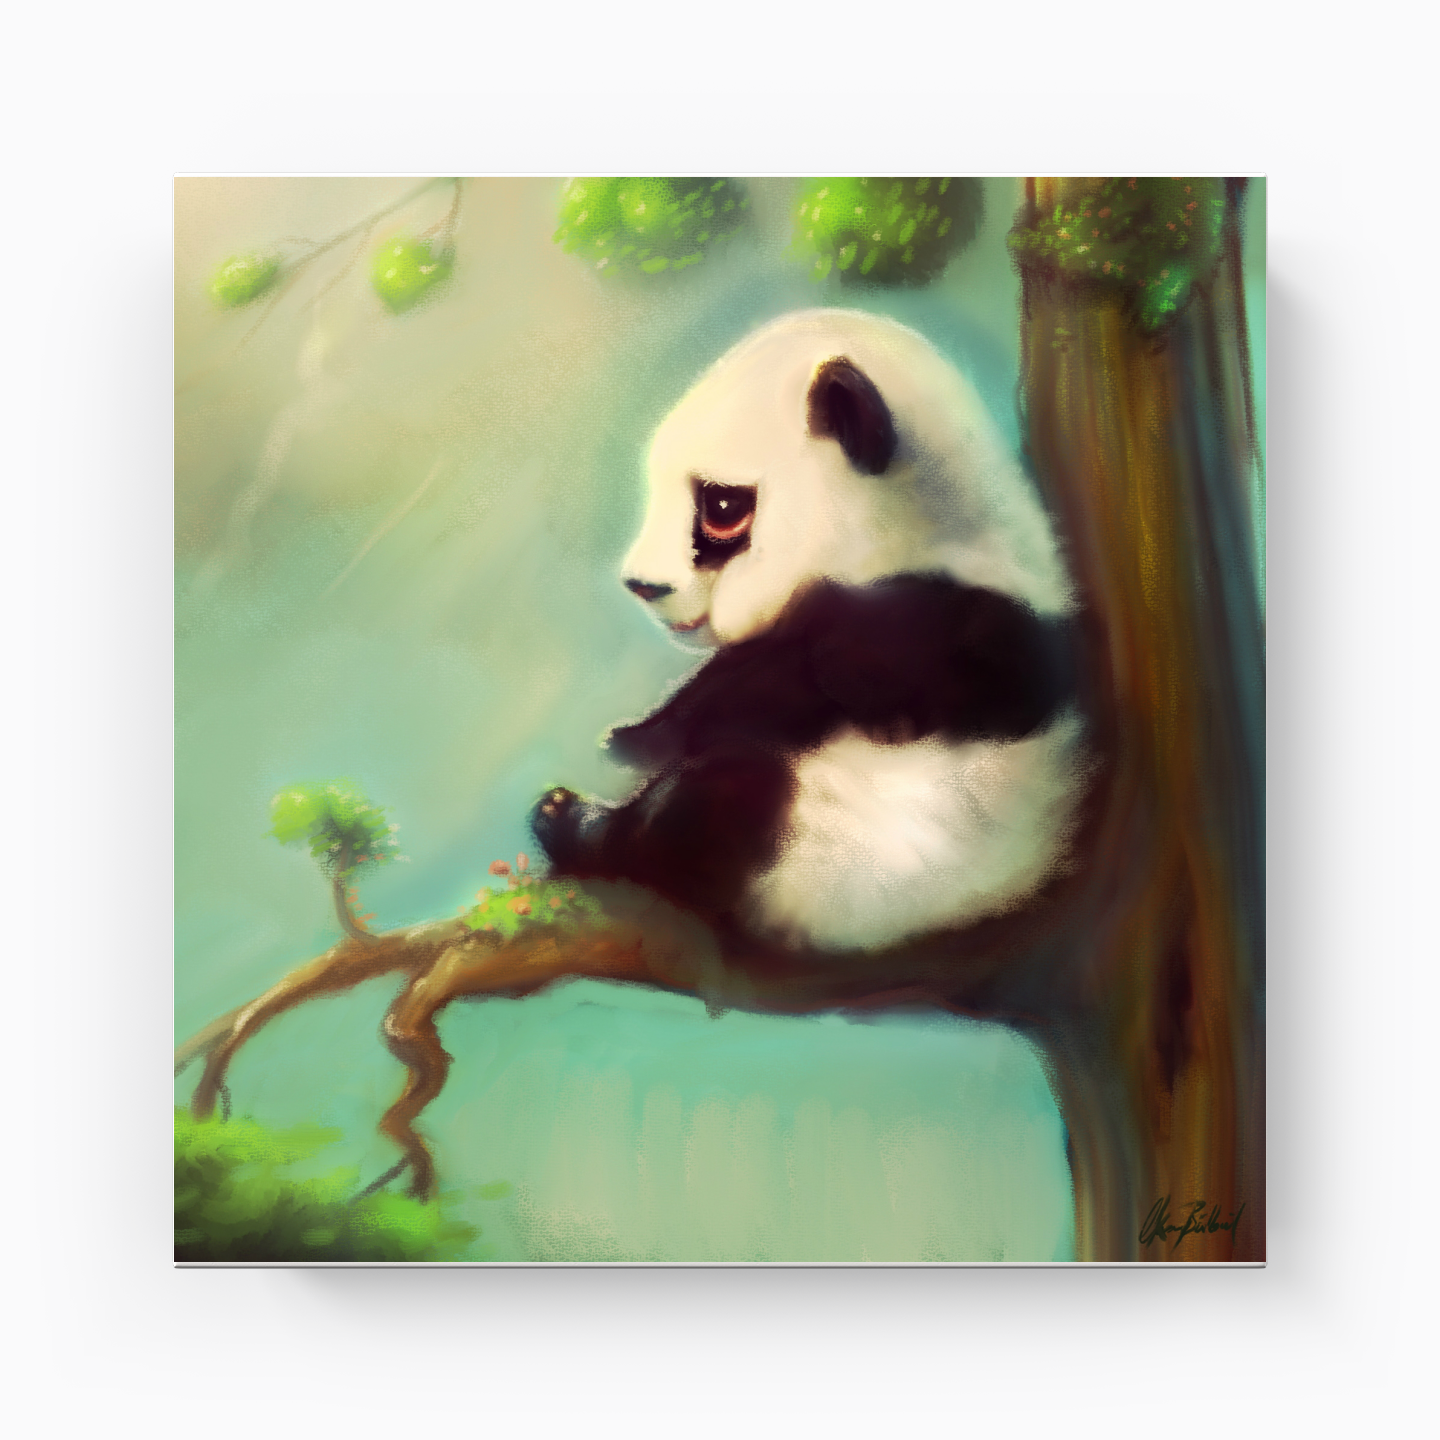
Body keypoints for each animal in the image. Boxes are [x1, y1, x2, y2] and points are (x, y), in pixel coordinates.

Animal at [532, 308, 1090, 956]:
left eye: (723, 506)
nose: (643, 586)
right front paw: (632, 734)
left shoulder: (936, 622)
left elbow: (796, 681)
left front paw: (646, 743)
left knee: (715, 802)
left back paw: (576, 824)